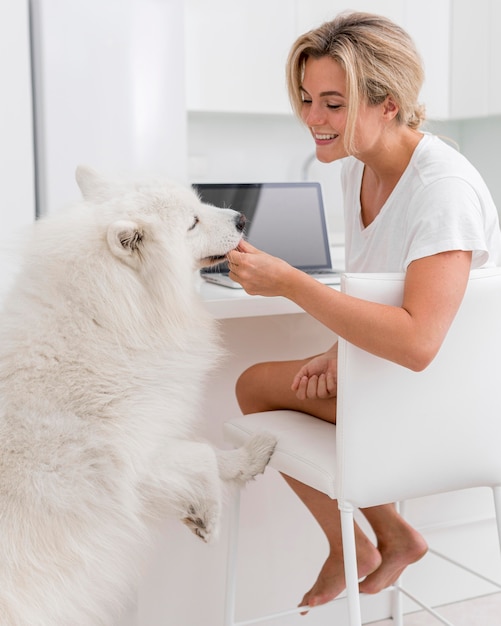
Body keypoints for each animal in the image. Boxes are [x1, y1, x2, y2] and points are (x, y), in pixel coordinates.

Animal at [0, 166, 274, 624]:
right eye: (193, 223)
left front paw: (250, 457)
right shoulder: (127, 466)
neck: (104, 318)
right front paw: (207, 517)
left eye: (199, 203)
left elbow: (213, 455)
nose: (241, 219)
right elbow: (201, 456)